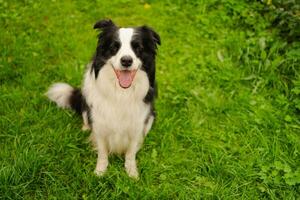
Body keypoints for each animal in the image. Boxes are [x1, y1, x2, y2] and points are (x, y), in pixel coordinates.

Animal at [45, 19, 161, 178]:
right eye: (114, 47)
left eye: (138, 47)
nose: (126, 61)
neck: (121, 93)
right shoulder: (100, 125)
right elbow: (102, 152)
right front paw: (100, 171)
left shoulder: (136, 125)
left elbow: (130, 153)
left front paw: (131, 172)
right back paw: (85, 127)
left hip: (151, 115)